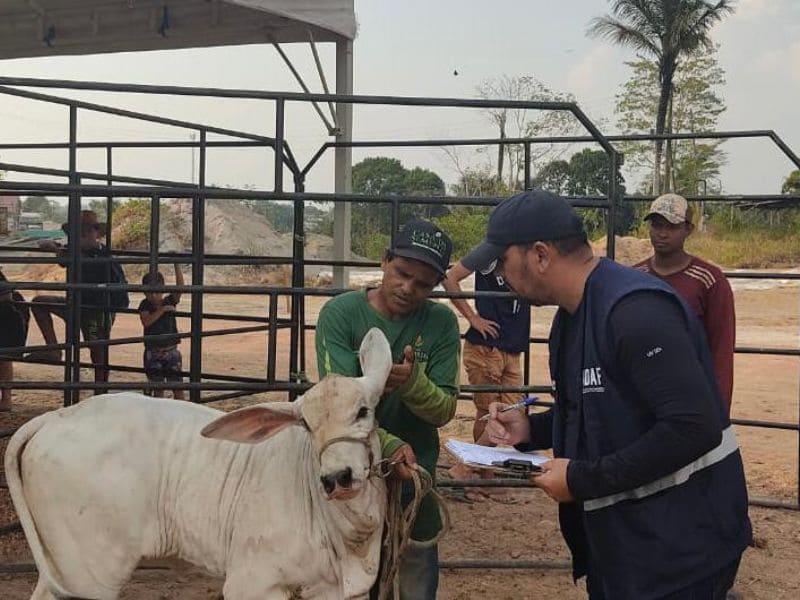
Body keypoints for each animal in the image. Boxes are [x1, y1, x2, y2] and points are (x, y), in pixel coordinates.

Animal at [6, 328, 394, 600]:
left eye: (363, 411)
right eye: (308, 425)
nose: (336, 477)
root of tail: (57, 416)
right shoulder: (253, 582)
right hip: (88, 571)